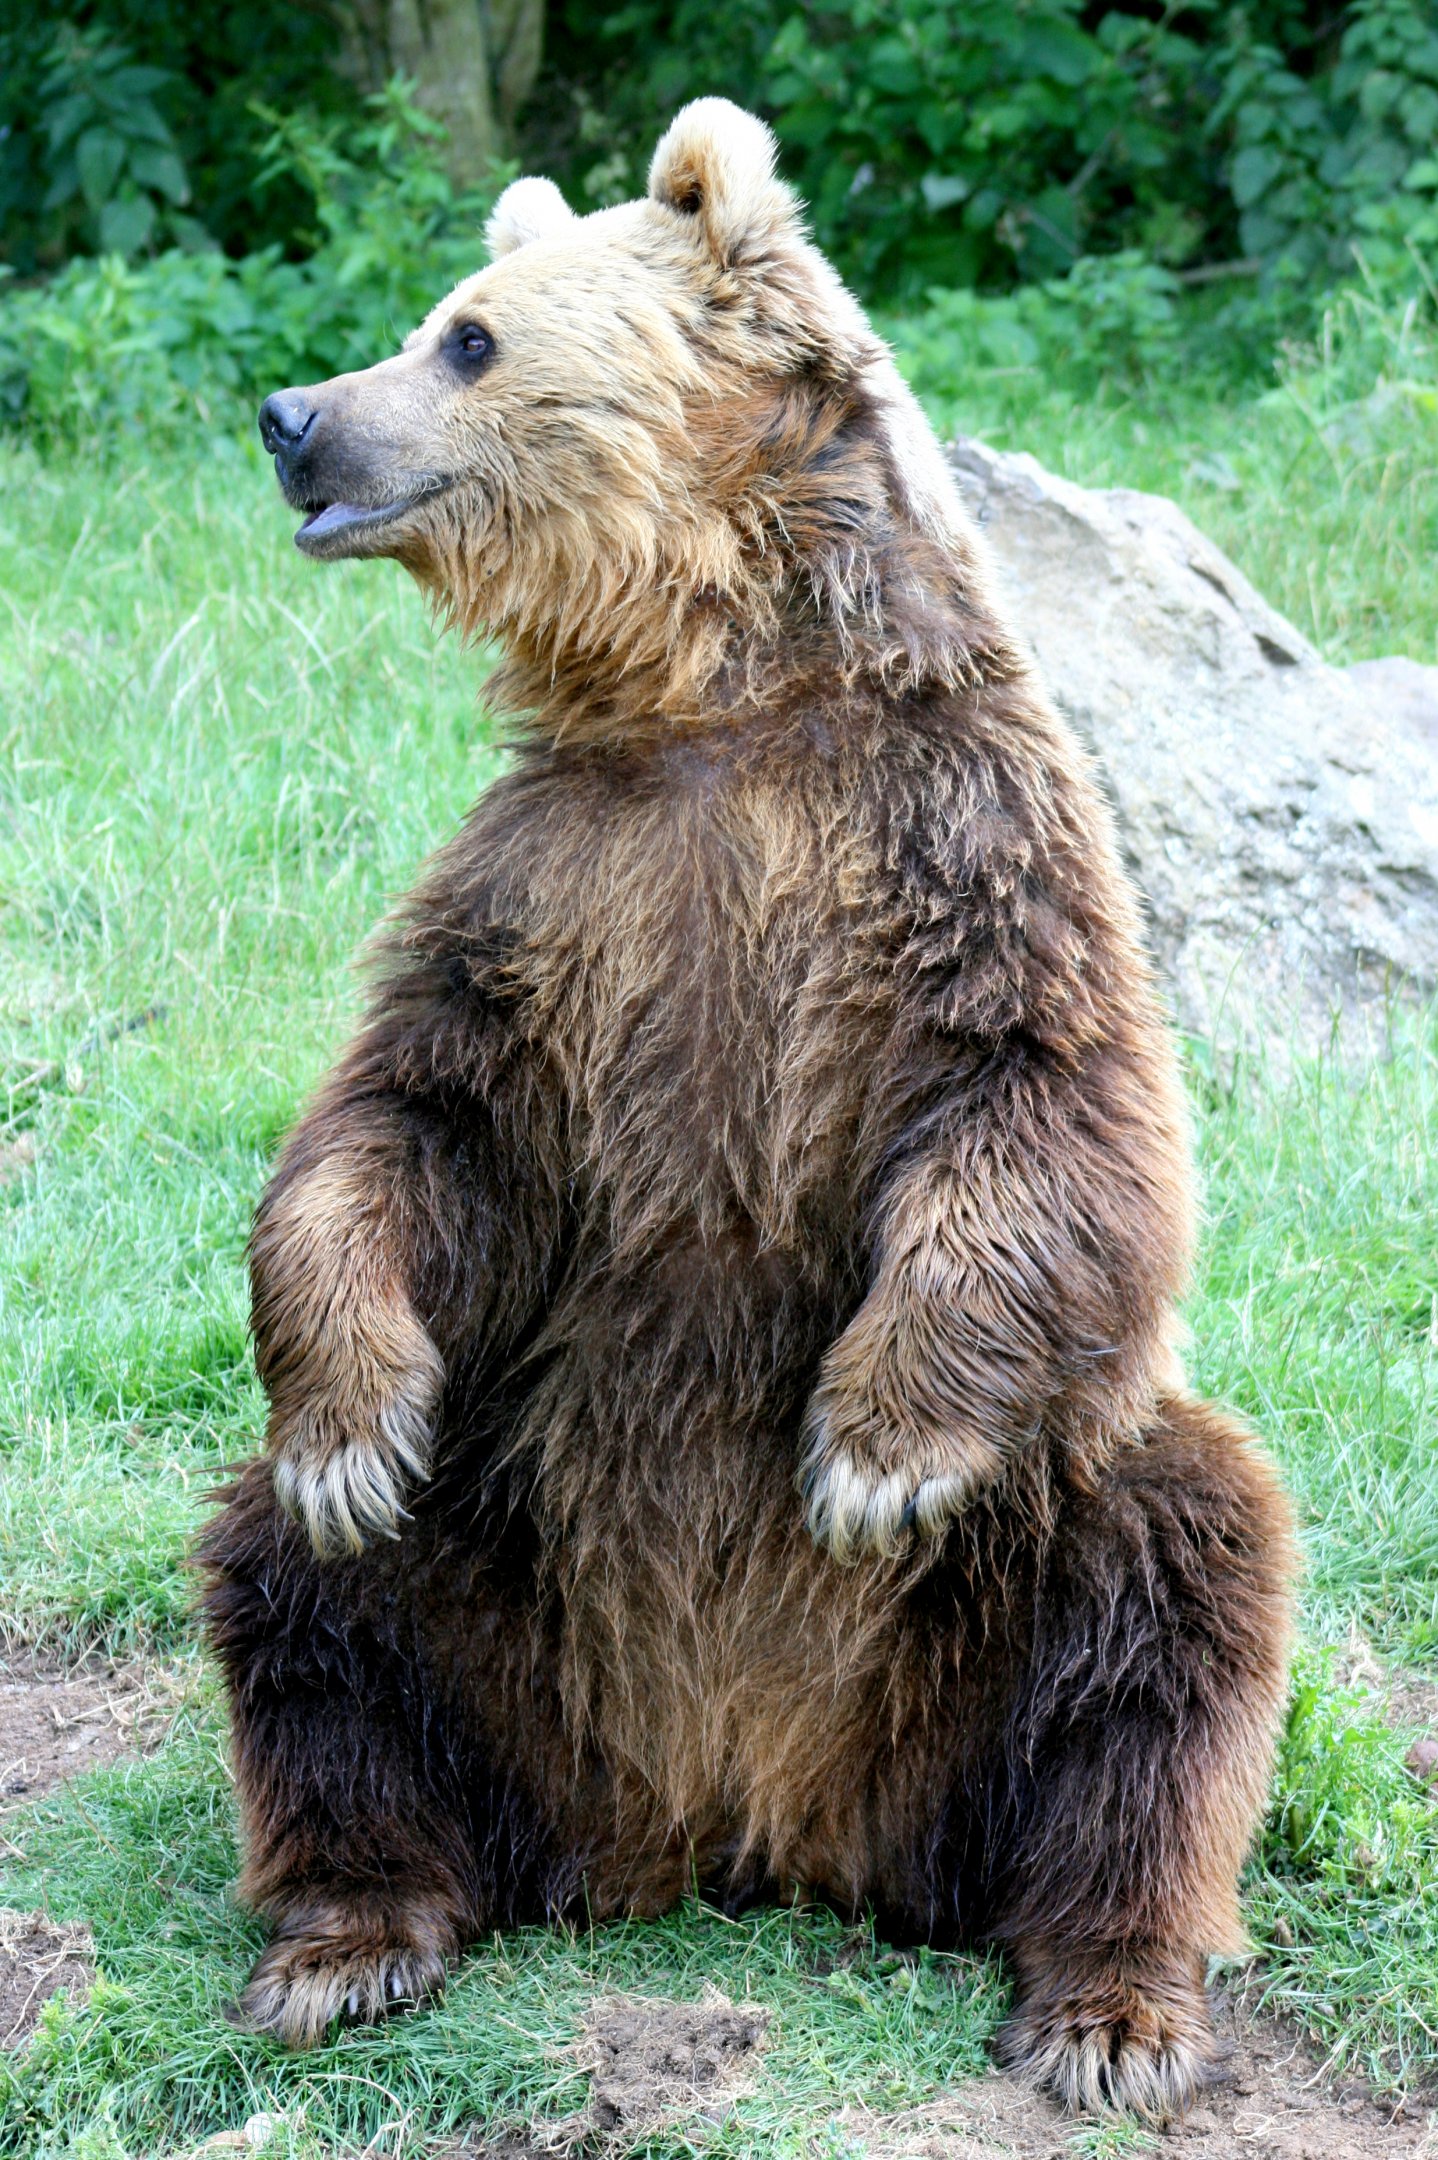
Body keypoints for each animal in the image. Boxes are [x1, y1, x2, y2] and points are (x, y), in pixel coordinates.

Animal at [205, 98, 1295, 2119]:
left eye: (464, 337)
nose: (293, 413)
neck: (716, 684)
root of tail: (738, 1825)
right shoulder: (556, 897)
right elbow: (405, 1126)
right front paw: (345, 1427)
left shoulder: (957, 843)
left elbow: (1048, 1117)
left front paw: (871, 1455)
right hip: (506, 1544)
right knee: (305, 1603)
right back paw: (348, 1936)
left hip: (1010, 1578)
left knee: (1175, 1600)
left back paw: (1107, 2002)